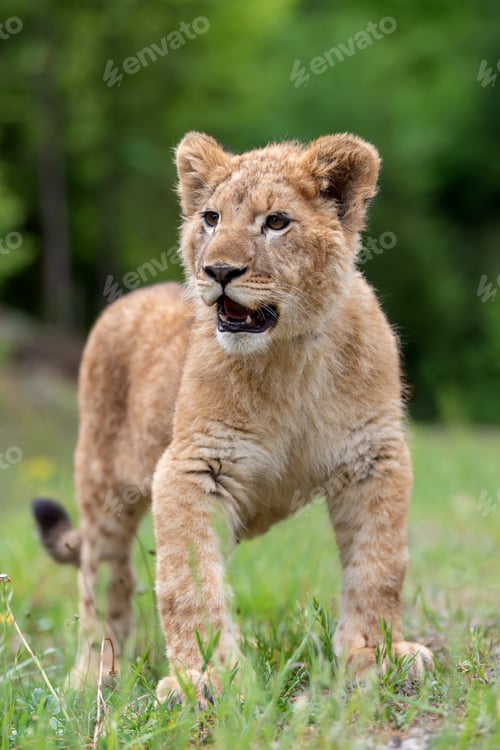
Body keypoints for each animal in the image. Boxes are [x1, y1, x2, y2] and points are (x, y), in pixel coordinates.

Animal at [33, 131, 433, 705]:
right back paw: (94, 678)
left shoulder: (373, 457)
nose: (219, 272)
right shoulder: (191, 466)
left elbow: (379, 566)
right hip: (100, 484)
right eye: (211, 218)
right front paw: (205, 678)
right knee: (102, 584)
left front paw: (375, 656)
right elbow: (190, 584)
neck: (289, 356)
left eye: (277, 222)